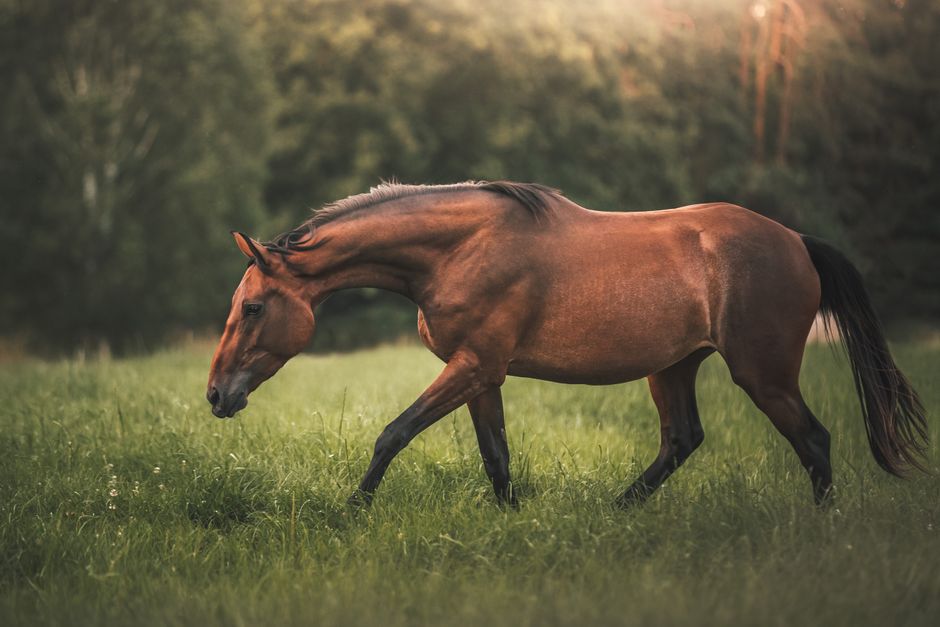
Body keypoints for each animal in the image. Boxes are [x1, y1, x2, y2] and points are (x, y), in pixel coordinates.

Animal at [206, 181, 927, 507]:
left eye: (253, 305)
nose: (216, 395)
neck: (460, 249)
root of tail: (797, 241)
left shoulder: (473, 365)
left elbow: (393, 432)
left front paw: (353, 509)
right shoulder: (482, 373)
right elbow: (495, 456)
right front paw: (512, 520)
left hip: (763, 373)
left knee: (814, 441)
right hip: (674, 367)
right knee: (682, 439)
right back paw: (617, 510)